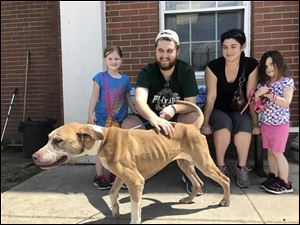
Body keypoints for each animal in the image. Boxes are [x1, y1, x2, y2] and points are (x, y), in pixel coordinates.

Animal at [32, 100, 230, 223]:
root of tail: (192, 126)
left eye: (58, 141)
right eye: (48, 138)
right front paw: (115, 210)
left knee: (224, 179)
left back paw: (225, 201)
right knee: (198, 182)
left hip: (204, 163)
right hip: (185, 164)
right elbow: (112, 193)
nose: (34, 156)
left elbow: (135, 210)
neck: (102, 139)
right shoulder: (121, 176)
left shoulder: (136, 181)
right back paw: (189, 198)